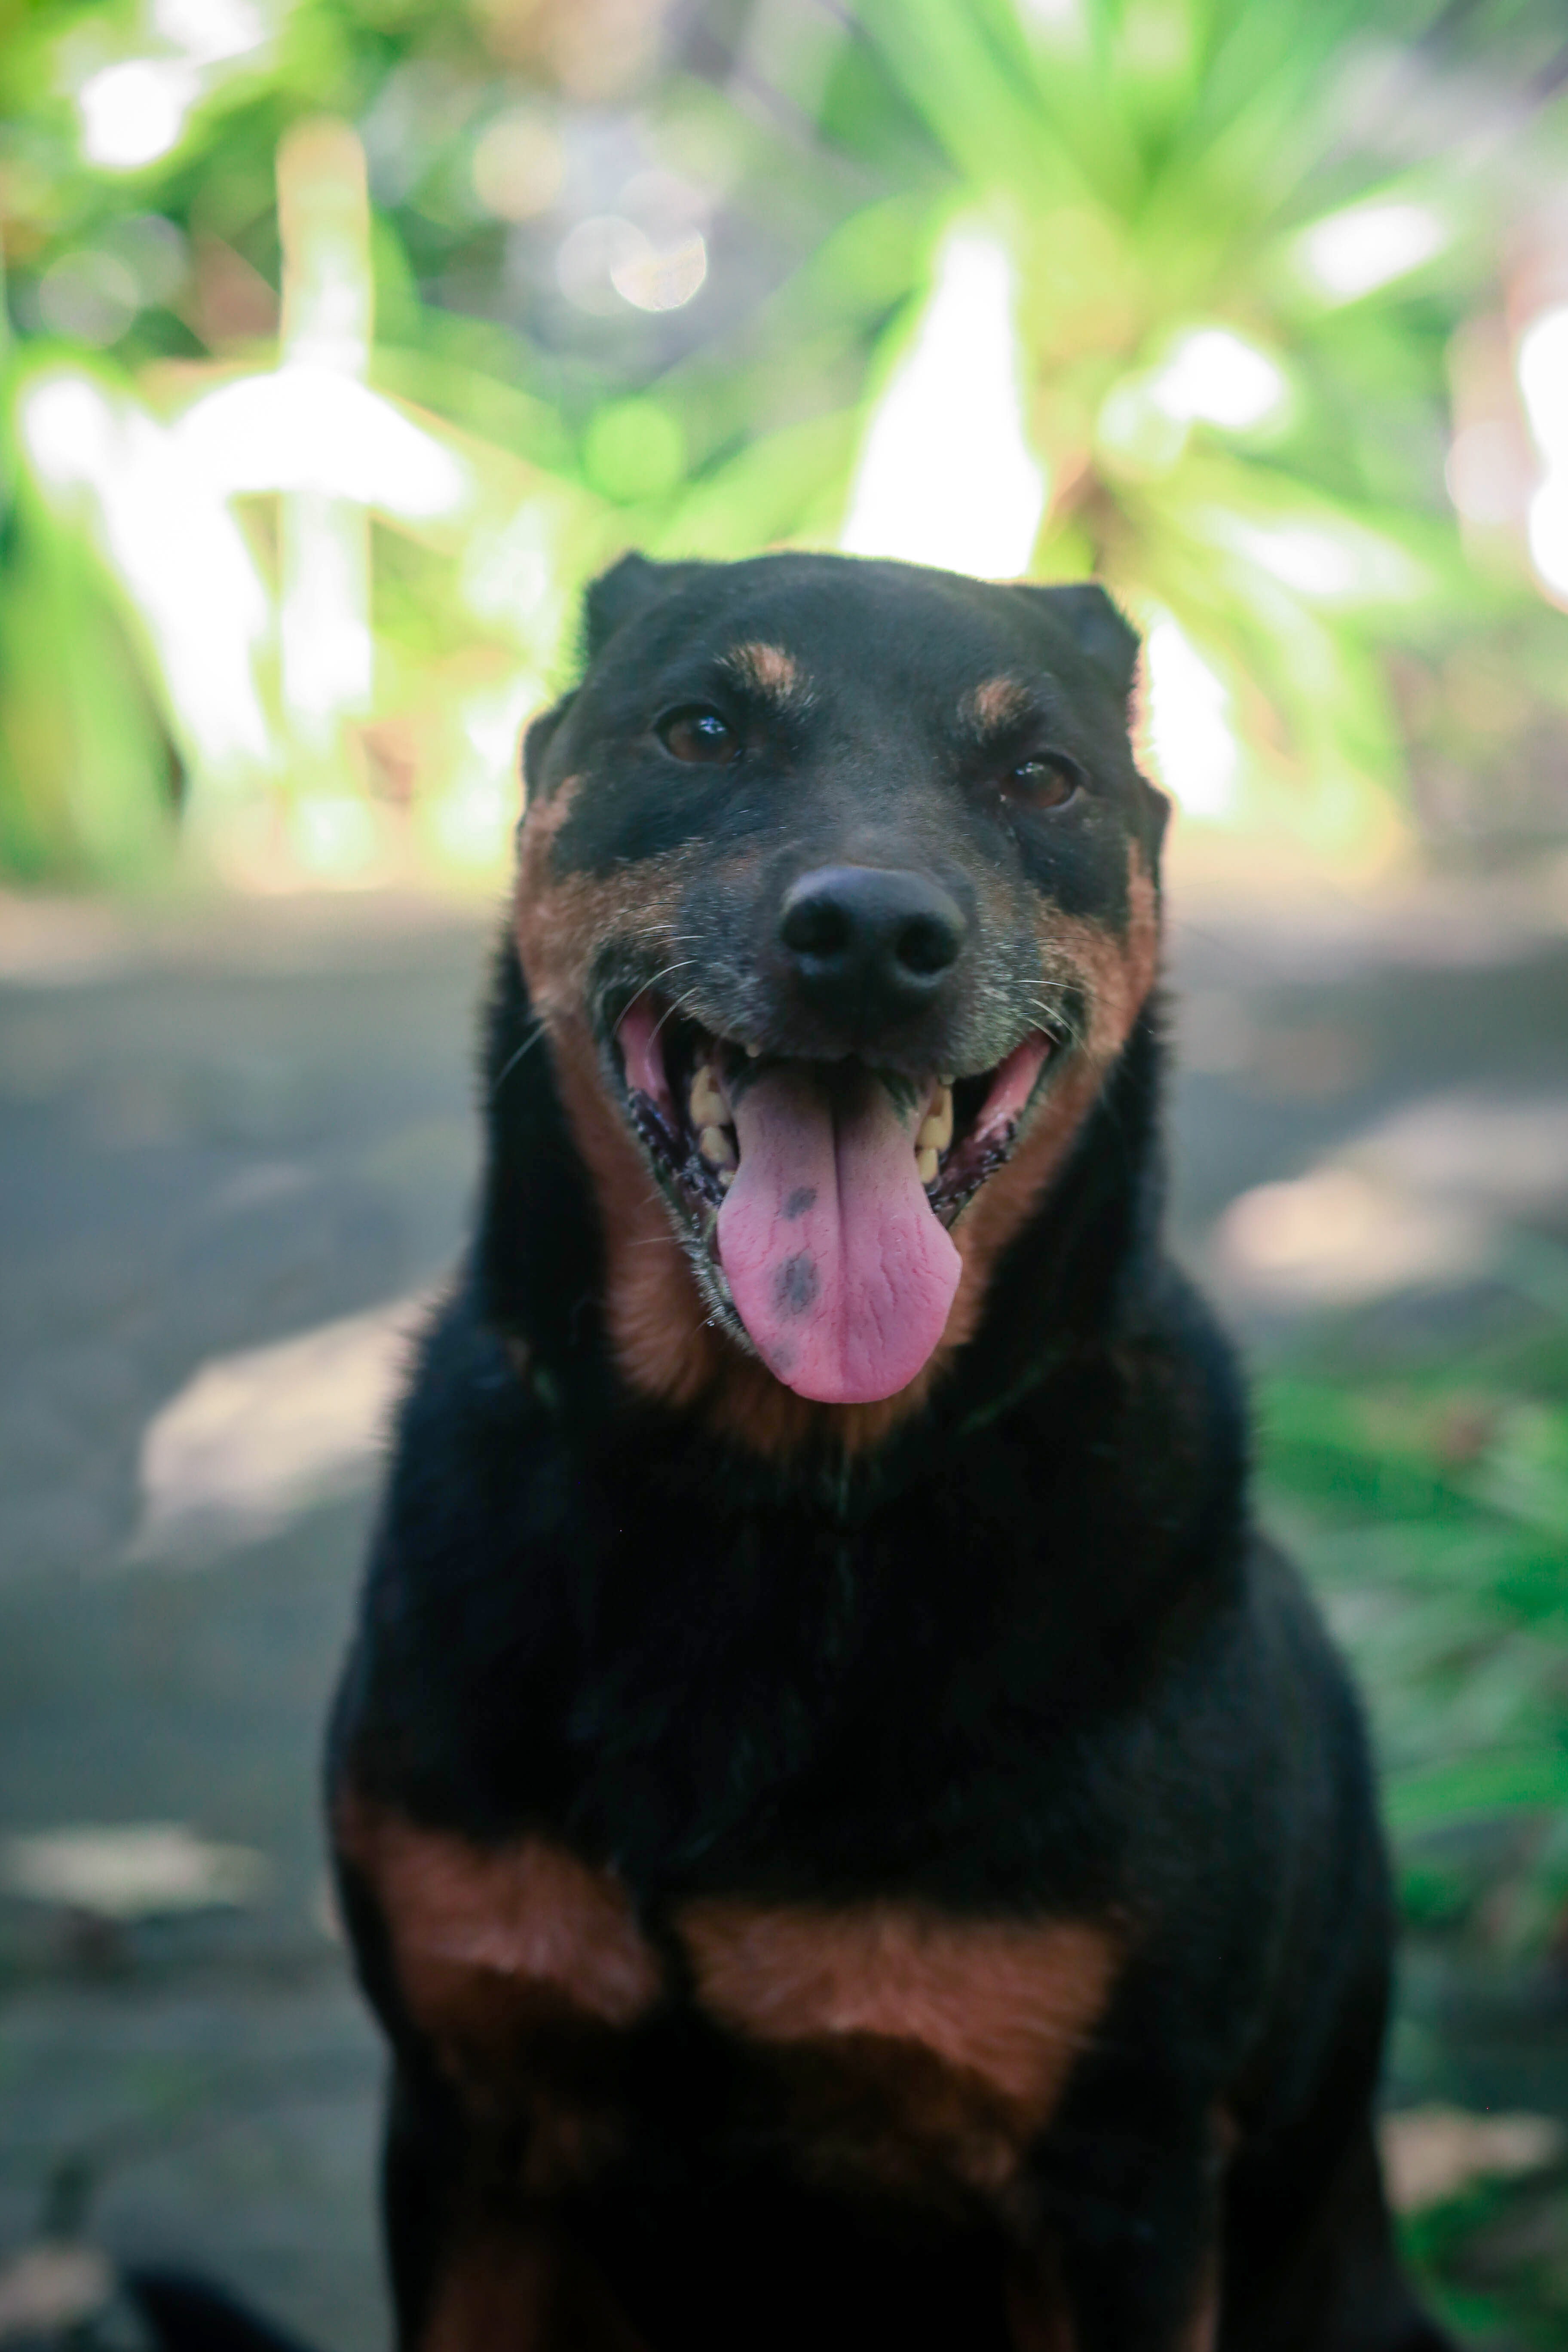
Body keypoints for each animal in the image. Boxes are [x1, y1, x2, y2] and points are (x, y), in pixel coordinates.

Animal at [324, 555, 1457, 2352]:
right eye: (700, 729)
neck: (767, 1491)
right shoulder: (464, 2115)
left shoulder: (1121, 2179)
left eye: (1038, 777)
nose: (868, 936)